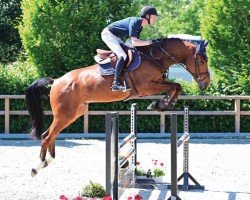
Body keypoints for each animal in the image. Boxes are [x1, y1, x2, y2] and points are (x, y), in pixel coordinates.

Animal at [25, 37, 209, 177]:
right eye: (200, 60)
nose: (206, 84)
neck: (155, 57)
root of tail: (56, 81)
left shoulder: (156, 84)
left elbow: (176, 86)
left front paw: (161, 104)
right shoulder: (146, 87)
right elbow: (175, 86)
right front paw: (162, 104)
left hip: (74, 113)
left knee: (50, 134)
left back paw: (48, 161)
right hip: (65, 114)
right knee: (47, 136)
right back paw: (37, 167)